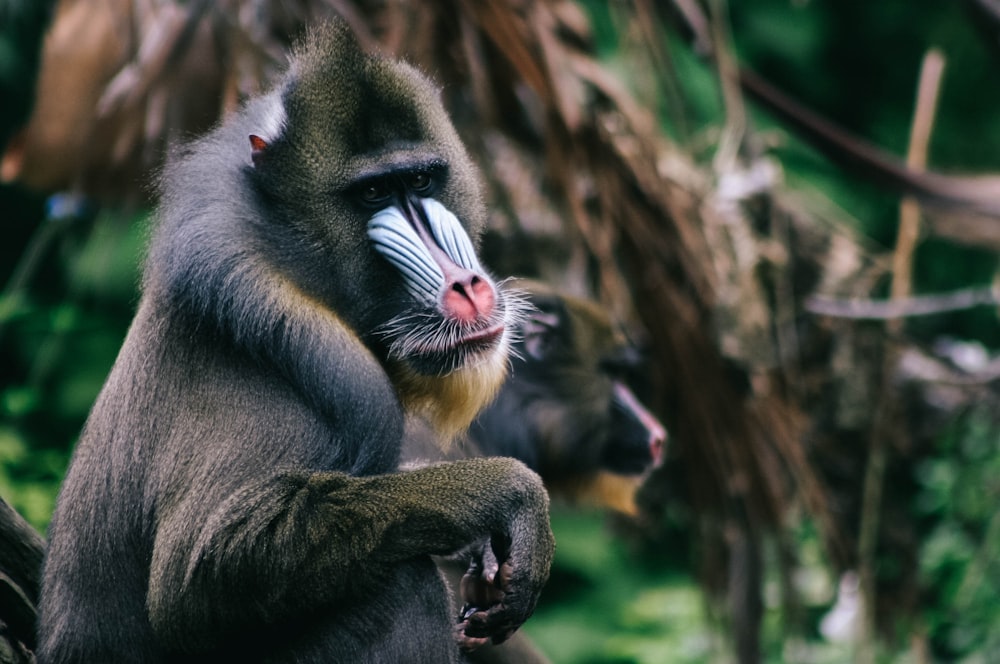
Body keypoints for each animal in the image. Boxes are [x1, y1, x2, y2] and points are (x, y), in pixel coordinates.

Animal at [37, 22, 556, 664]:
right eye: (372, 194)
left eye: (420, 180)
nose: (467, 287)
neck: (299, 264)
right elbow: (196, 575)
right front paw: (506, 495)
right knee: (397, 582)